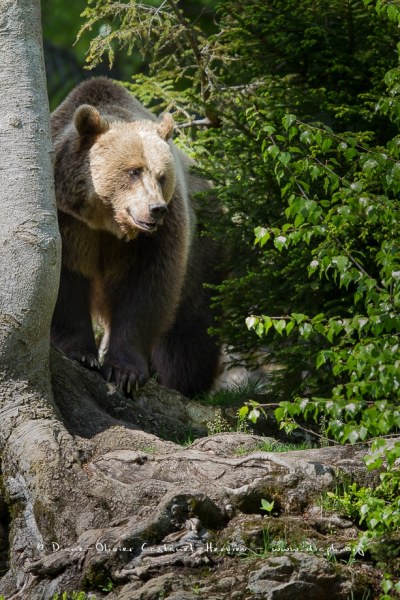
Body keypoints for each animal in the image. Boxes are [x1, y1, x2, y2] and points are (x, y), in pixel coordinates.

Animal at [50, 78, 220, 398]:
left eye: (162, 176)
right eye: (133, 171)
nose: (155, 209)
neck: (107, 222)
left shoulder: (156, 237)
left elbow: (145, 289)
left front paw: (125, 371)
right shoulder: (69, 221)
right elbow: (65, 279)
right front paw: (82, 353)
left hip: (202, 256)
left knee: (189, 329)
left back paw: (184, 384)